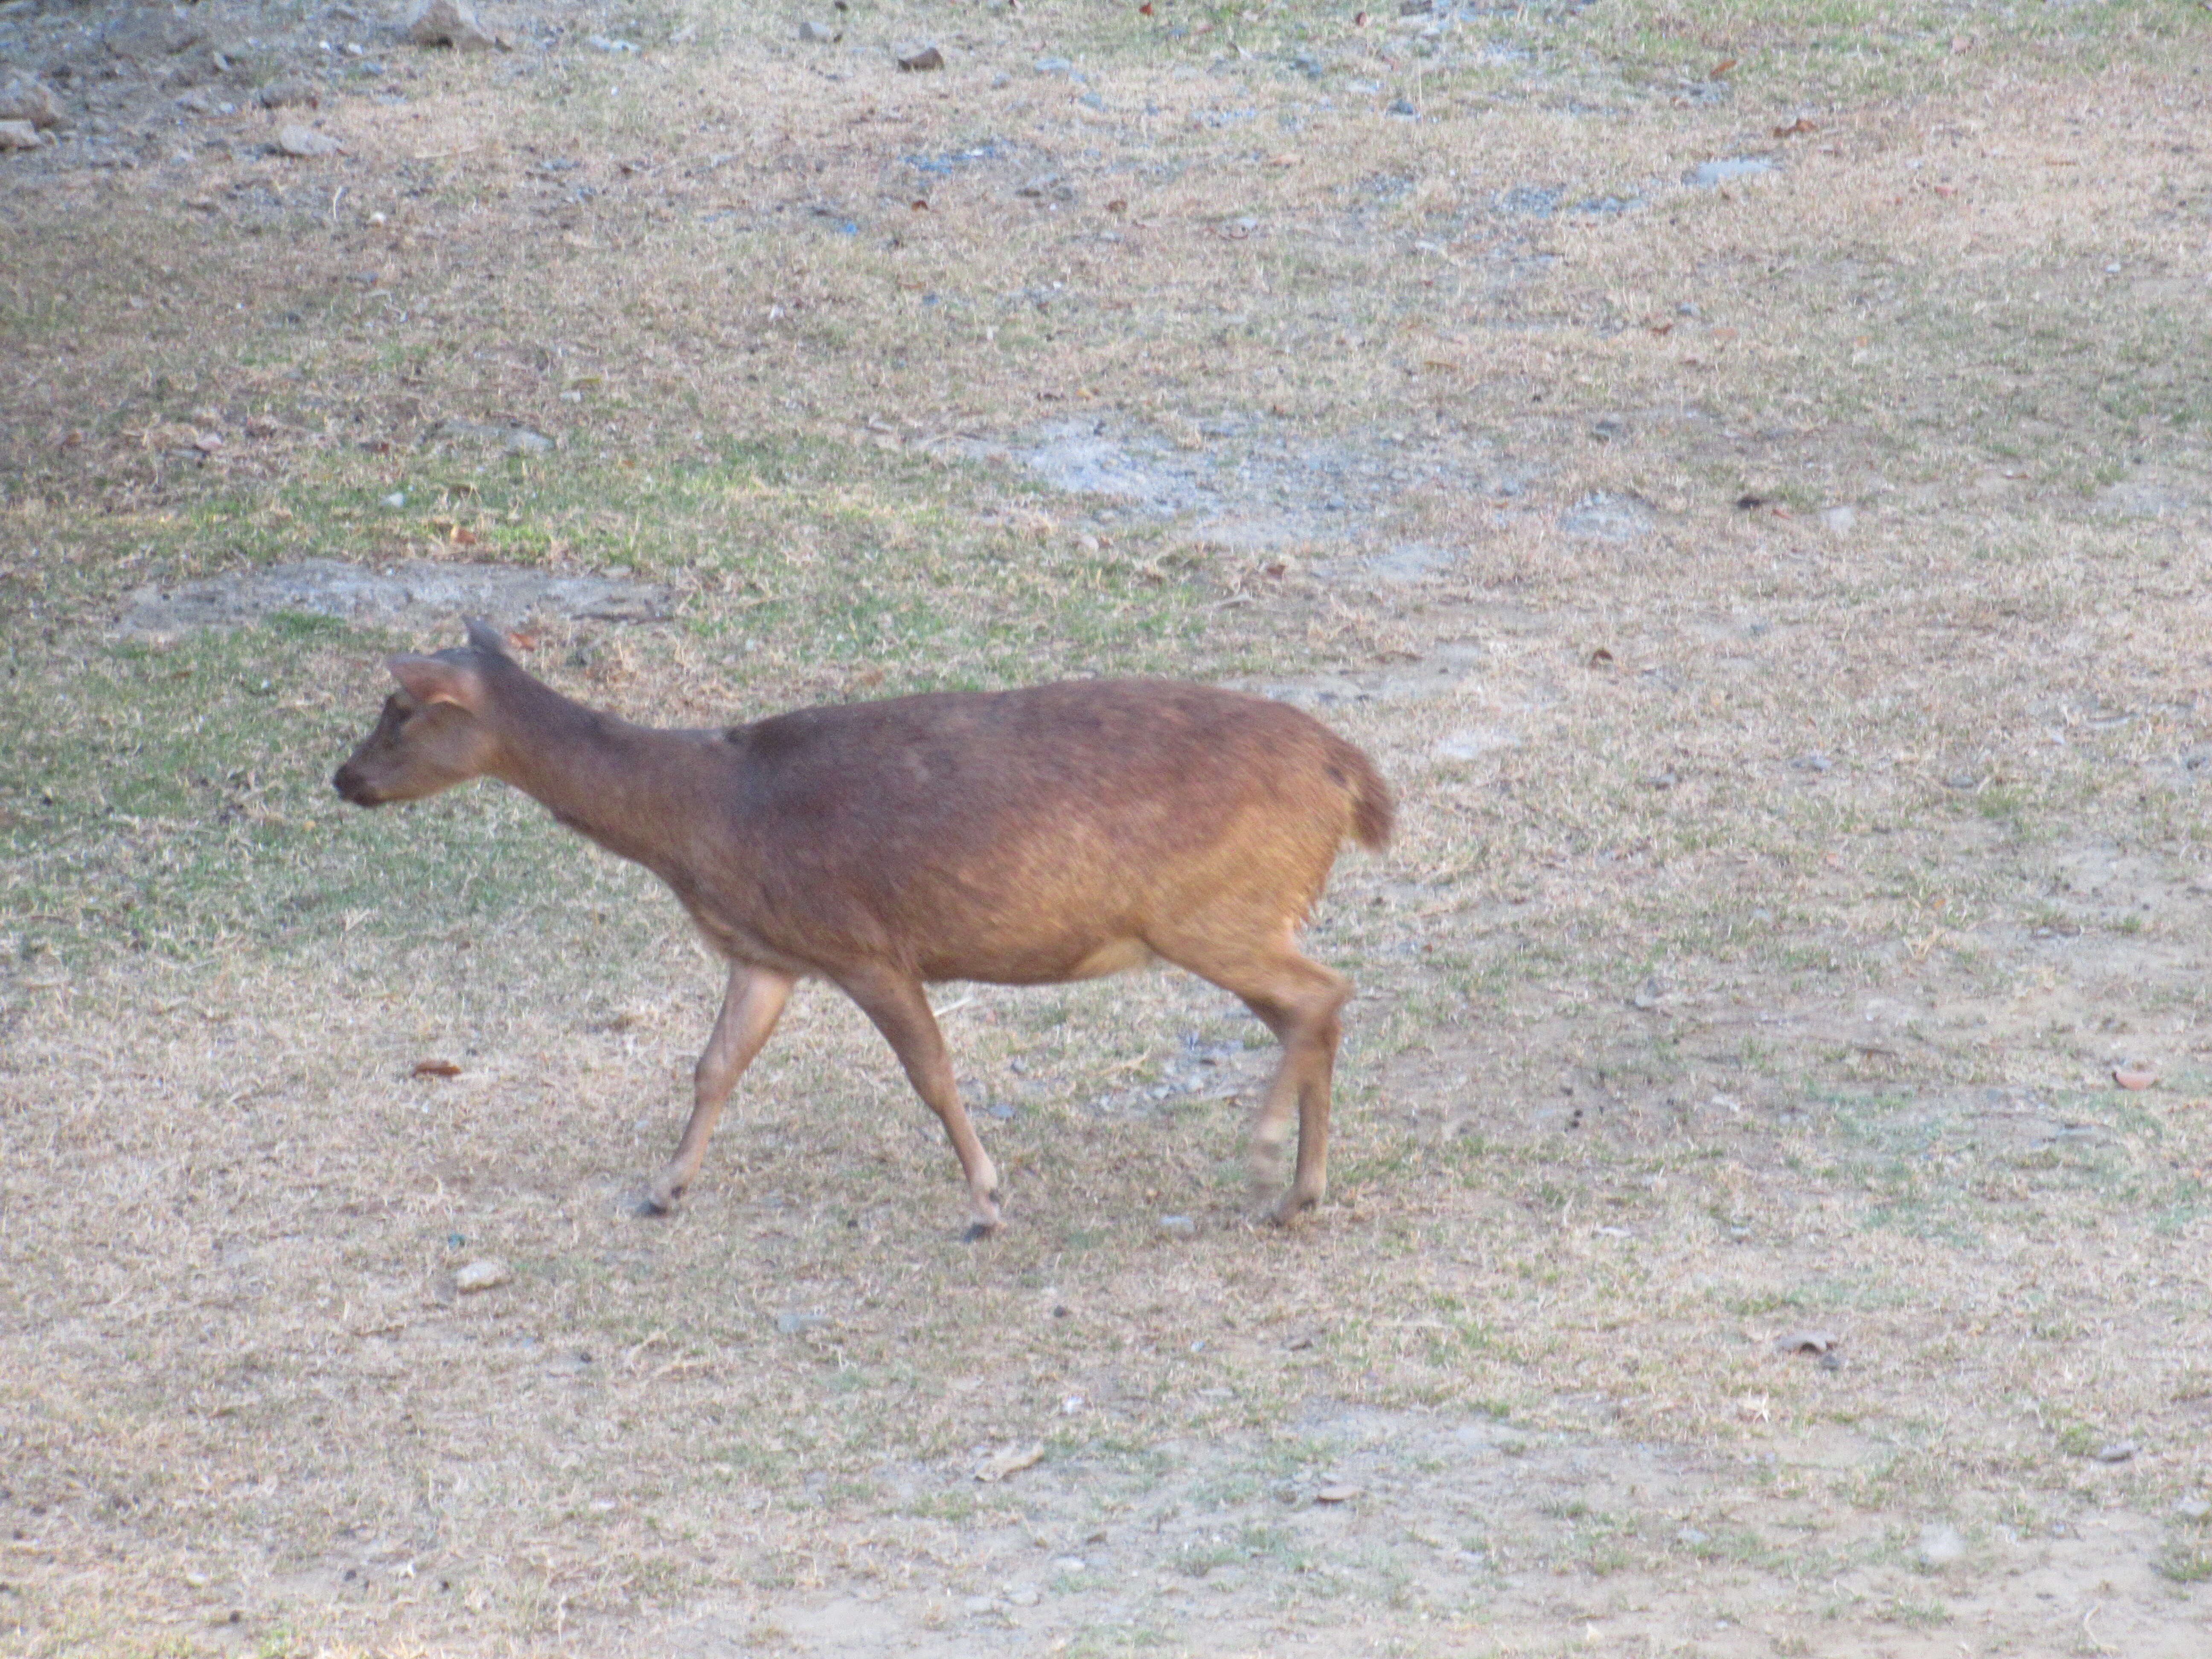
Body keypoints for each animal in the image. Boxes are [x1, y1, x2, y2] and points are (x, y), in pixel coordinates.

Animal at [332, 623, 1380, 1239]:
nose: (343, 779)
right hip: (1239, 912)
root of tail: (1354, 778)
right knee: (1315, 1009)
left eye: (399, 709)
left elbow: (932, 1072)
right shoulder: (768, 952)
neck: (706, 817)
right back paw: (1299, 1191)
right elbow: (714, 1065)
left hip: (1213, 906)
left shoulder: (863, 941)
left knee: (1324, 993)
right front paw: (663, 1187)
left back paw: (1266, 1157)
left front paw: (987, 1201)